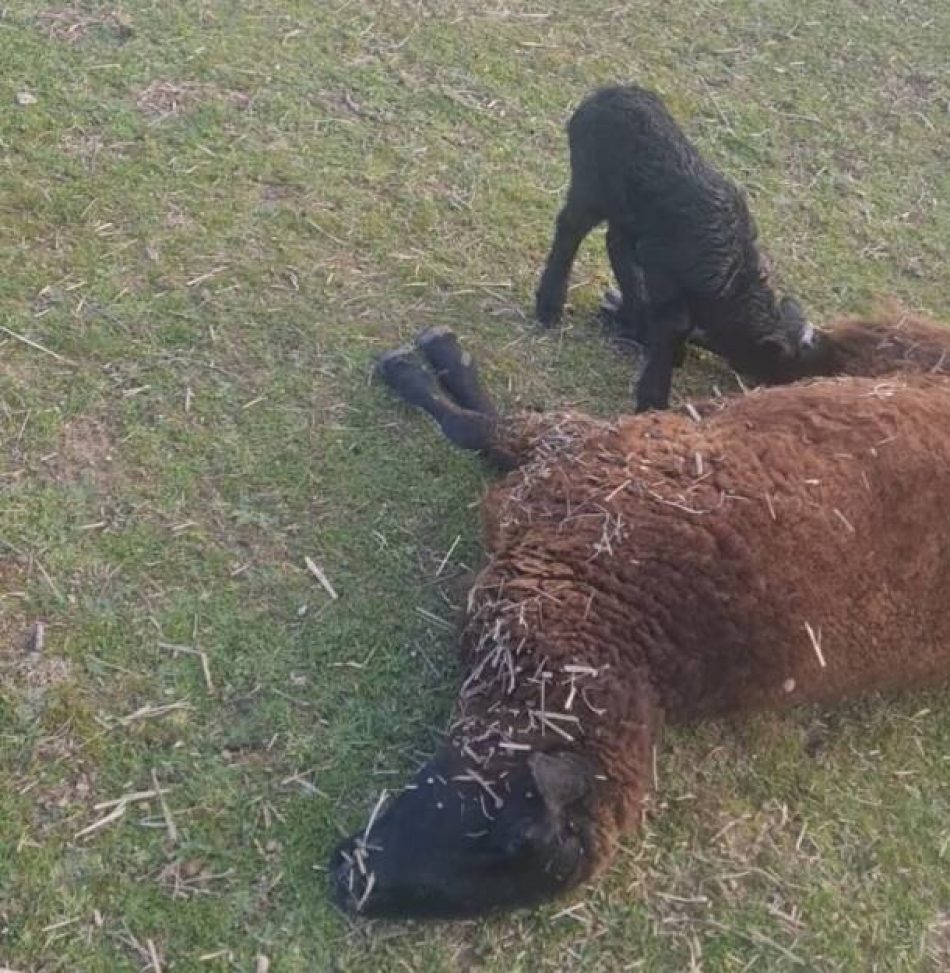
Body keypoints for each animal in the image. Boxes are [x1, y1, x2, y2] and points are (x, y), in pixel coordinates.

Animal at [330, 318, 950, 920]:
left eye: (495, 856)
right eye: (493, 834)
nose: (346, 883)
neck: (615, 617)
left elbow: (483, 430)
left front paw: (421, 365)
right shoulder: (578, 453)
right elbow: (486, 427)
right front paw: (424, 360)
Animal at [536, 85, 824, 412]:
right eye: (777, 362)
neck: (733, 276)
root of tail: (608, 93)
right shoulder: (666, 276)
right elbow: (677, 324)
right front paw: (653, 396)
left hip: (629, 211)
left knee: (615, 242)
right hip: (591, 185)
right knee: (571, 228)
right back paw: (550, 305)